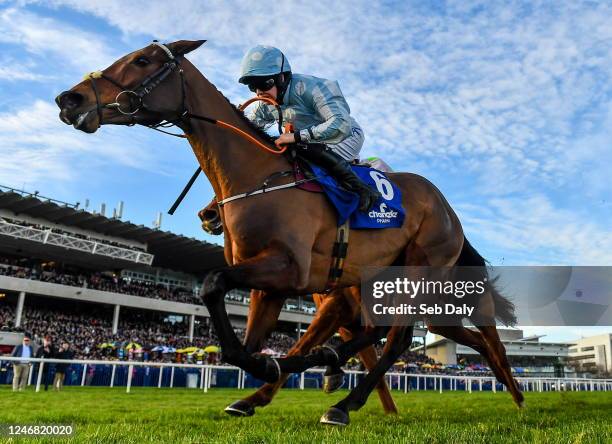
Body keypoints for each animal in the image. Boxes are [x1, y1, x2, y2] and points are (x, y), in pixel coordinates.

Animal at [57, 40, 524, 424]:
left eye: (142, 60)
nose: (69, 98)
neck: (259, 175)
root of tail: (446, 208)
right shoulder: (270, 287)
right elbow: (242, 346)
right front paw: (264, 381)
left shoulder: (289, 270)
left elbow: (214, 286)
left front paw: (281, 366)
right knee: (407, 334)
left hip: (419, 271)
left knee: (401, 336)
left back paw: (345, 404)